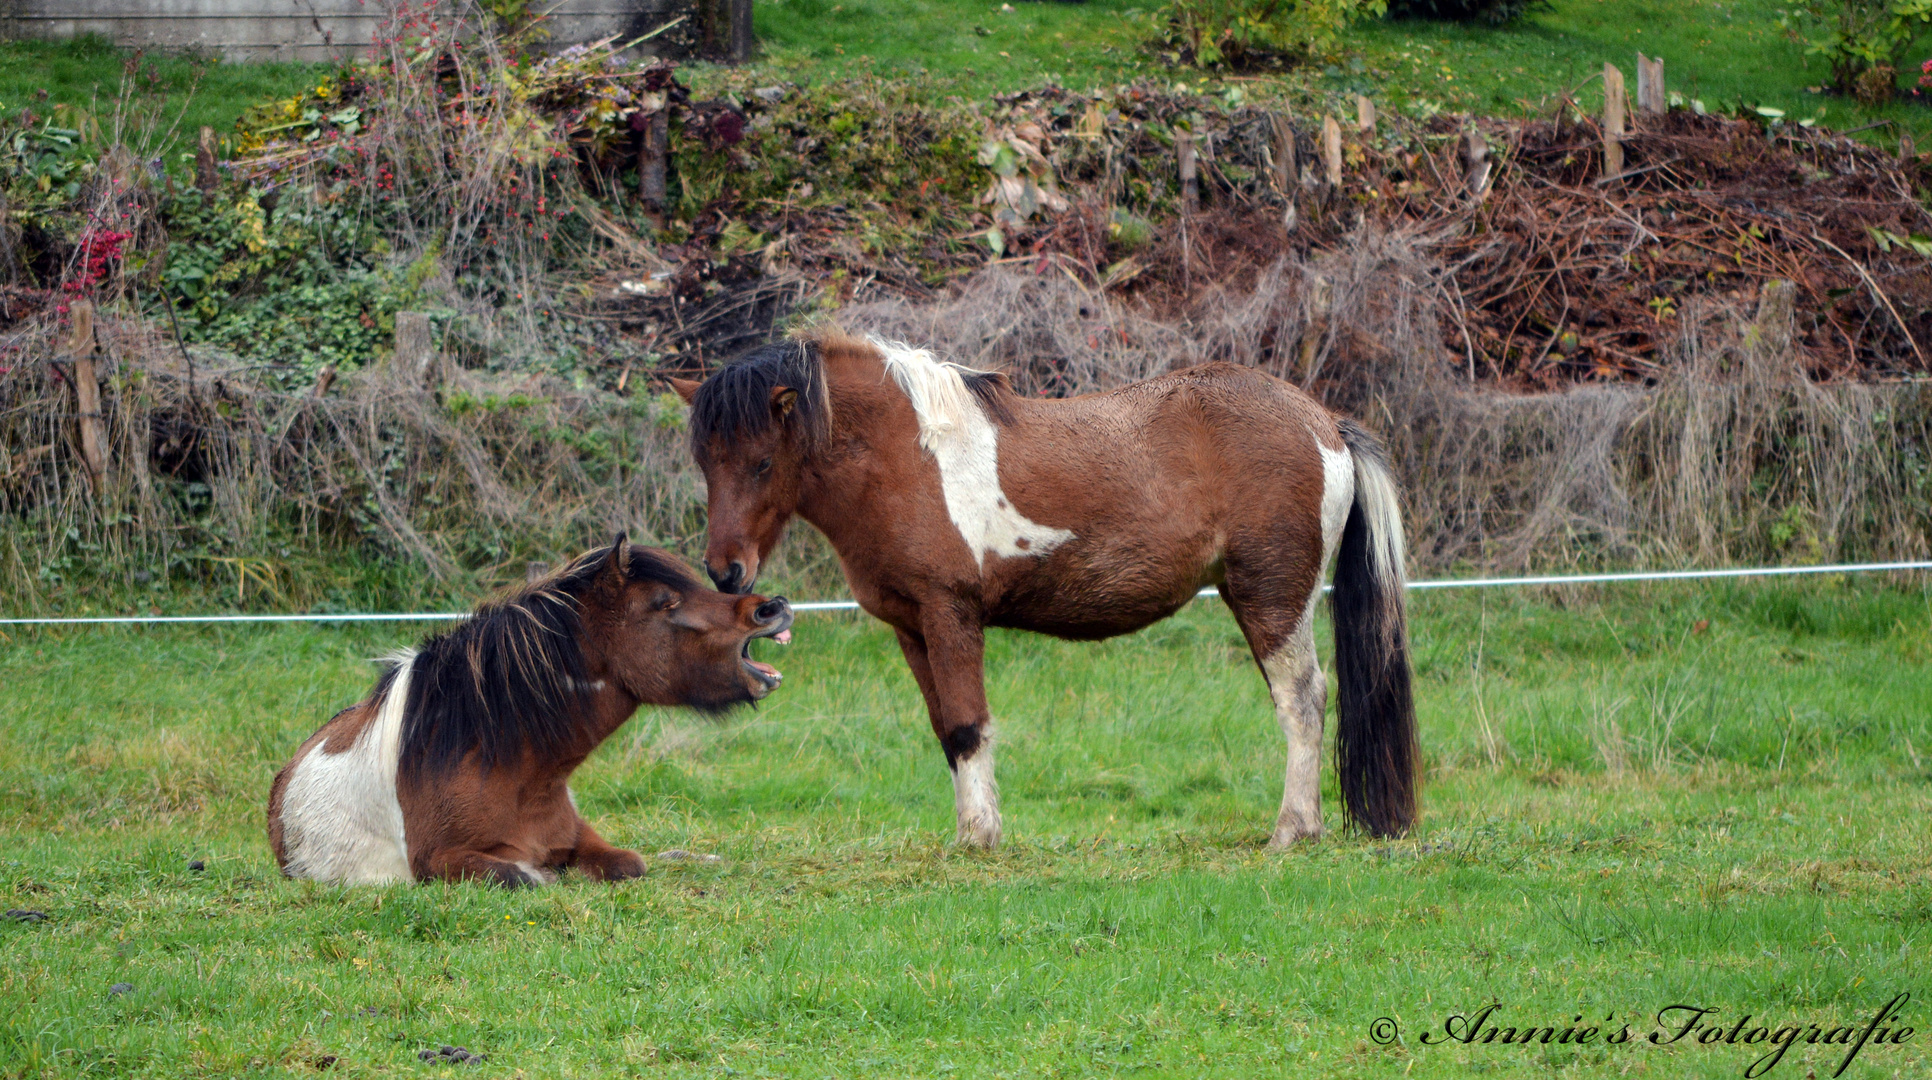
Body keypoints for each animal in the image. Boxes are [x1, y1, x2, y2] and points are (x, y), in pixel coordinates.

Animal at [266, 540, 792, 888]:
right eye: (666, 602)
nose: (773, 608)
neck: (513, 772)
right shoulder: (438, 862)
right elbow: (524, 876)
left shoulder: (582, 836)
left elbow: (630, 864)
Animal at [676, 334, 1421, 850]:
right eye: (705, 461)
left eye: (762, 462)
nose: (726, 572)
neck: (908, 457)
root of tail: (1323, 422)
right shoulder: (912, 628)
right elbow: (946, 731)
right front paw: (970, 832)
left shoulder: (951, 614)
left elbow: (969, 725)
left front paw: (981, 838)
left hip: (1273, 598)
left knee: (1302, 701)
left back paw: (1293, 830)